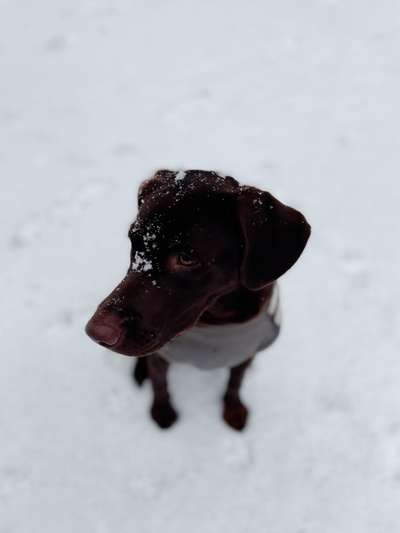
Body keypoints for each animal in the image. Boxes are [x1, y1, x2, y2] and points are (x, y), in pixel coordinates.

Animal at [84, 168, 310, 430]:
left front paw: (233, 408)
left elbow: (235, 381)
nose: (96, 331)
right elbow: (160, 384)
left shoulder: (245, 351)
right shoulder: (160, 357)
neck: (218, 321)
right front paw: (162, 411)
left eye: (186, 258)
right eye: (134, 242)